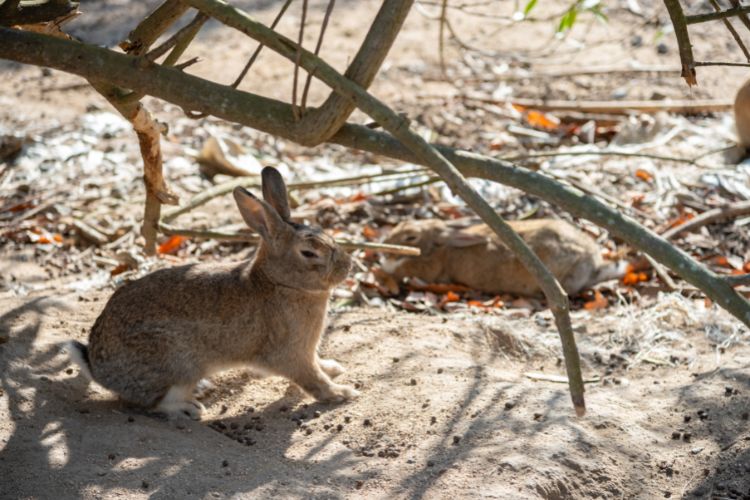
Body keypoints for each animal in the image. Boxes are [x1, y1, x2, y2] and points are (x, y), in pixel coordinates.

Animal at [65, 167, 358, 418]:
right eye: (308, 253)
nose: (347, 266)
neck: (279, 282)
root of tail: (98, 368)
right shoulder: (291, 354)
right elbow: (312, 379)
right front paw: (342, 393)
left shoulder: (306, 351)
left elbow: (317, 364)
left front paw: (333, 368)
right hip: (177, 364)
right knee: (150, 403)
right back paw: (189, 408)